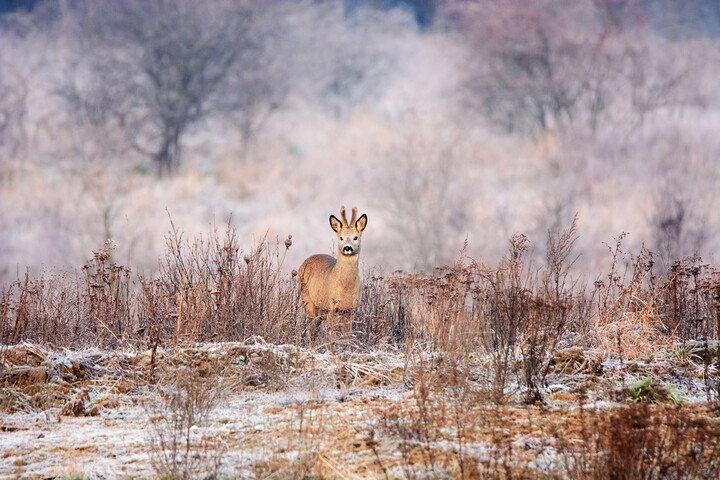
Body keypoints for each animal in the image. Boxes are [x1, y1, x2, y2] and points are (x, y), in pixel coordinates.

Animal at [298, 205, 368, 334]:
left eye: (355, 237)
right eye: (341, 238)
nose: (347, 247)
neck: (345, 287)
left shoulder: (350, 309)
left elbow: (347, 335)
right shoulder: (331, 307)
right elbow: (333, 335)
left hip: (321, 310)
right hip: (307, 297)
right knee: (310, 326)